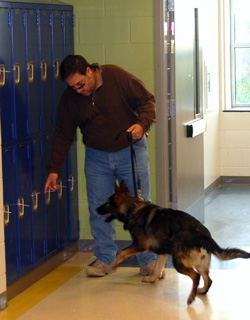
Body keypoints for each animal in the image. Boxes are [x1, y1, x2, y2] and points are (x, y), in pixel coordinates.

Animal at [96, 181, 250, 304]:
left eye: (108, 202)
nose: (96, 209)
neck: (132, 207)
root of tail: (204, 235)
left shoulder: (140, 245)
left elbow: (122, 252)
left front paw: (114, 265)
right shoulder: (162, 253)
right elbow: (157, 268)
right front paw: (152, 278)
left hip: (179, 263)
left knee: (196, 276)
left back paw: (191, 298)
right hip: (200, 264)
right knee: (208, 279)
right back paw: (200, 291)